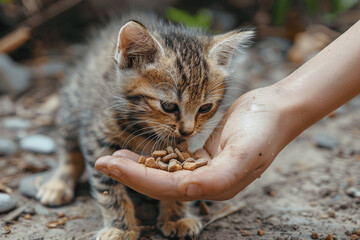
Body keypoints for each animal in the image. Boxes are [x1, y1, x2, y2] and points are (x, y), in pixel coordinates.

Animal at [35, 13, 252, 240]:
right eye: (168, 106)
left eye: (205, 108)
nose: (188, 130)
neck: (147, 129)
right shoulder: (98, 137)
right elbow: (108, 188)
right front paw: (120, 227)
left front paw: (177, 217)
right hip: (73, 103)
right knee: (69, 148)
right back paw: (58, 184)